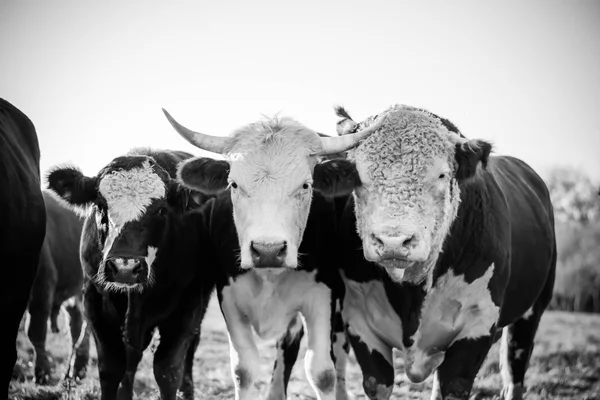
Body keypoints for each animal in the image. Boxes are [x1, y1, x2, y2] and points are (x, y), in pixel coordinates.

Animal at [45, 148, 218, 398]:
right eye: (100, 205)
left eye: (161, 209)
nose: (124, 267)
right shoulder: (95, 302)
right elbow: (110, 368)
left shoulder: (188, 306)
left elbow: (167, 371)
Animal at [162, 109, 384, 400]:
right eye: (234, 184)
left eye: (306, 185)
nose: (268, 250)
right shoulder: (229, 298)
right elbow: (243, 370)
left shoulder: (323, 295)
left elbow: (322, 373)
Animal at [326, 105, 556, 400]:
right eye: (358, 176)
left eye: (442, 175)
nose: (393, 241)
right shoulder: (360, 324)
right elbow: (378, 382)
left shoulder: (477, 328)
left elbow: (454, 384)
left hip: (531, 314)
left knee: (514, 372)